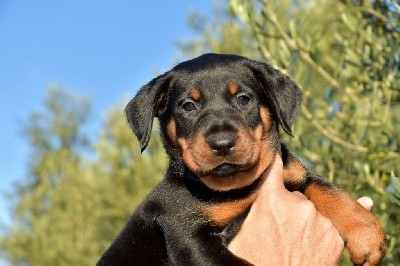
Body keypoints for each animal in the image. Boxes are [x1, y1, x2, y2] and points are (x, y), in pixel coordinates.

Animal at [97, 53, 384, 264]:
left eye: (243, 99)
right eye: (188, 106)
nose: (222, 144)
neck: (238, 187)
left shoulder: (294, 173)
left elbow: (325, 188)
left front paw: (367, 234)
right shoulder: (187, 235)